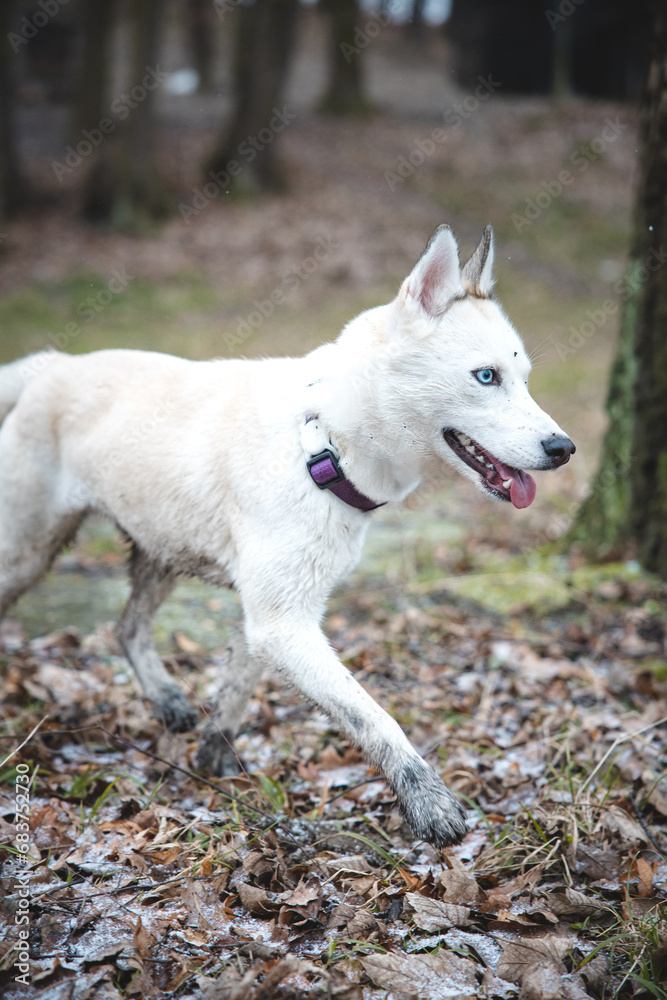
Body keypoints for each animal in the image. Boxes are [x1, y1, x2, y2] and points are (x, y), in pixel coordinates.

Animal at [0, 227, 576, 844]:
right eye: (486, 376)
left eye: (524, 380)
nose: (564, 449)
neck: (324, 441)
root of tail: (53, 364)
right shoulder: (283, 624)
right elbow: (373, 717)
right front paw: (429, 805)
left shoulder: (270, 618)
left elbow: (236, 690)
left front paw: (215, 760)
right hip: (29, 553)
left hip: (163, 547)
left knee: (126, 627)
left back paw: (167, 699)